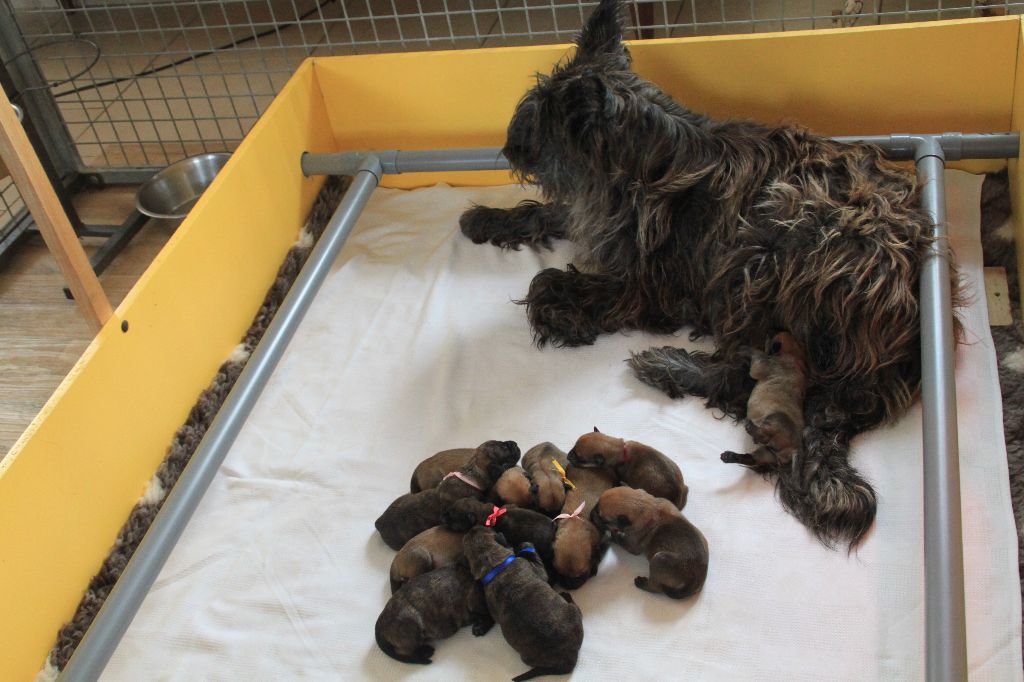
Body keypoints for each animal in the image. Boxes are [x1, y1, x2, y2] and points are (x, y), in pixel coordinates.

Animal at [464, 524, 585, 679]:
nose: (475, 525)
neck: (494, 565)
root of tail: (570, 658)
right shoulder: (539, 571)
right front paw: (524, 544)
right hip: (572, 613)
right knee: (576, 609)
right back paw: (566, 596)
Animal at [720, 329, 806, 471]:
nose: (771, 332)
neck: (794, 354)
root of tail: (796, 447)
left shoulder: (761, 365)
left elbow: (757, 353)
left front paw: (746, 348)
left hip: (775, 419)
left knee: (763, 435)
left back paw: (750, 427)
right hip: (768, 453)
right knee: (752, 458)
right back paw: (730, 456)